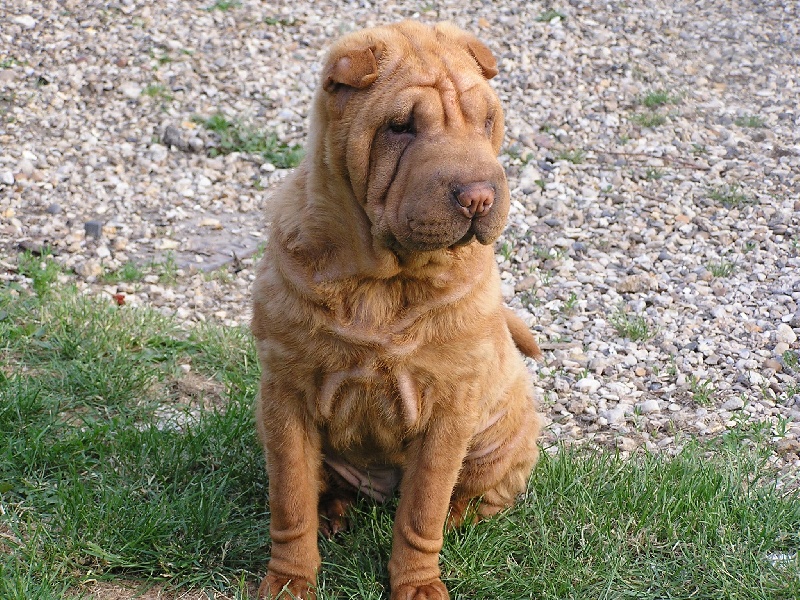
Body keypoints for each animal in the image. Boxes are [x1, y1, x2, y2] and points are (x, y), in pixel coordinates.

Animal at [253, 19, 544, 600]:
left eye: (486, 120)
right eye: (401, 128)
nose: (479, 196)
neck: (382, 282)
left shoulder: (450, 409)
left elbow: (421, 509)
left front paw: (418, 585)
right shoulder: (285, 396)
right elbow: (290, 500)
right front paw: (289, 581)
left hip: (502, 439)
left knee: (476, 496)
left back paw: (458, 514)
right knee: (323, 489)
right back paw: (332, 514)